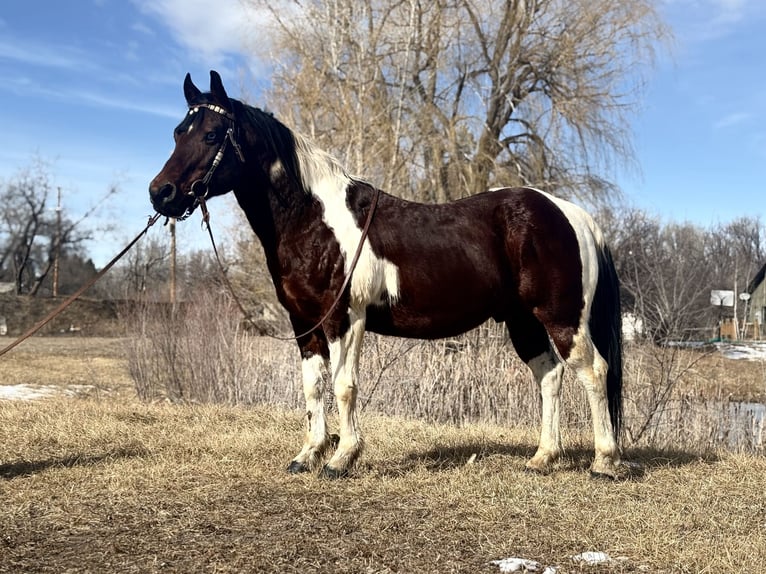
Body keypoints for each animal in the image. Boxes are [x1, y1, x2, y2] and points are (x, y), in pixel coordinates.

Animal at [149, 71, 626, 479]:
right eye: (176, 132)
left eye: (212, 134)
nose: (161, 193)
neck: (313, 219)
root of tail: (571, 214)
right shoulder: (304, 323)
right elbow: (312, 388)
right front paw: (308, 454)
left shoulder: (345, 318)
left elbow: (344, 386)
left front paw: (342, 458)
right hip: (523, 320)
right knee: (549, 375)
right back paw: (543, 457)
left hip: (562, 317)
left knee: (593, 371)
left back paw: (603, 462)